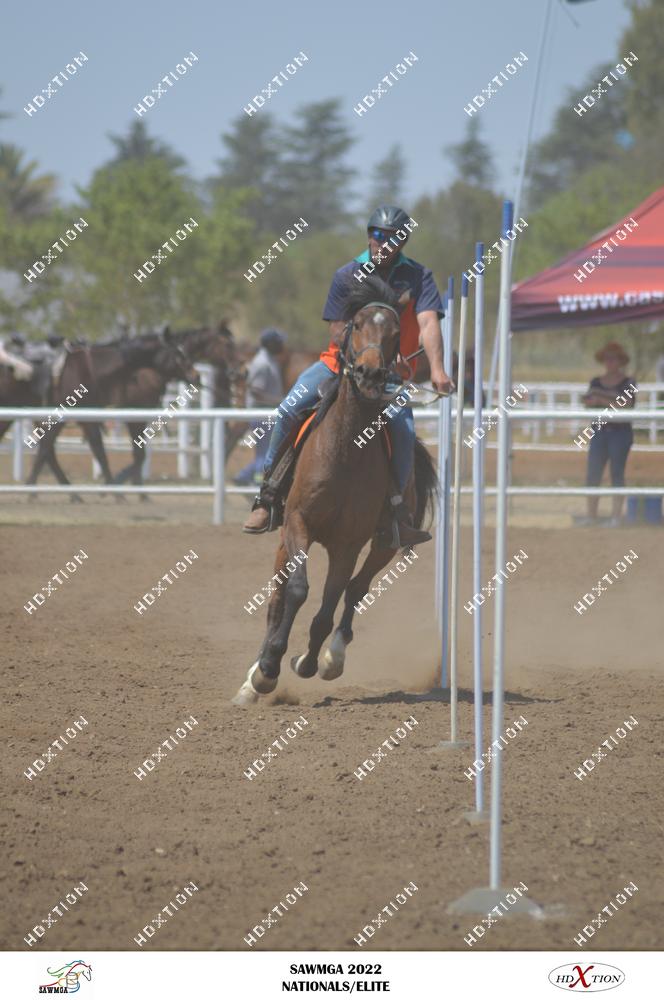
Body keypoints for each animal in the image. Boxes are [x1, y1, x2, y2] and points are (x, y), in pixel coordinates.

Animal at [233, 276, 438, 705]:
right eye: (356, 324)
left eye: (395, 332)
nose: (370, 374)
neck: (346, 448)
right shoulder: (298, 523)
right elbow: (297, 591)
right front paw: (268, 669)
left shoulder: (348, 543)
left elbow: (327, 608)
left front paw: (309, 662)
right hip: (286, 538)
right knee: (277, 600)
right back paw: (252, 678)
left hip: (385, 544)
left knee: (357, 590)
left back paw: (334, 656)